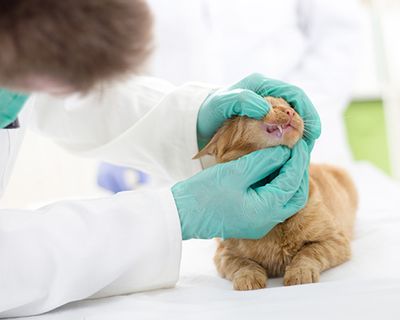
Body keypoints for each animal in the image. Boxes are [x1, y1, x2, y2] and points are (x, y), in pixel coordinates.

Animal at [195, 96, 358, 288]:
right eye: (268, 104)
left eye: (291, 106)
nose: (291, 112)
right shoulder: (224, 254)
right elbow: (243, 264)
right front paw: (248, 277)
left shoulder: (335, 239)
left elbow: (308, 253)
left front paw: (299, 272)